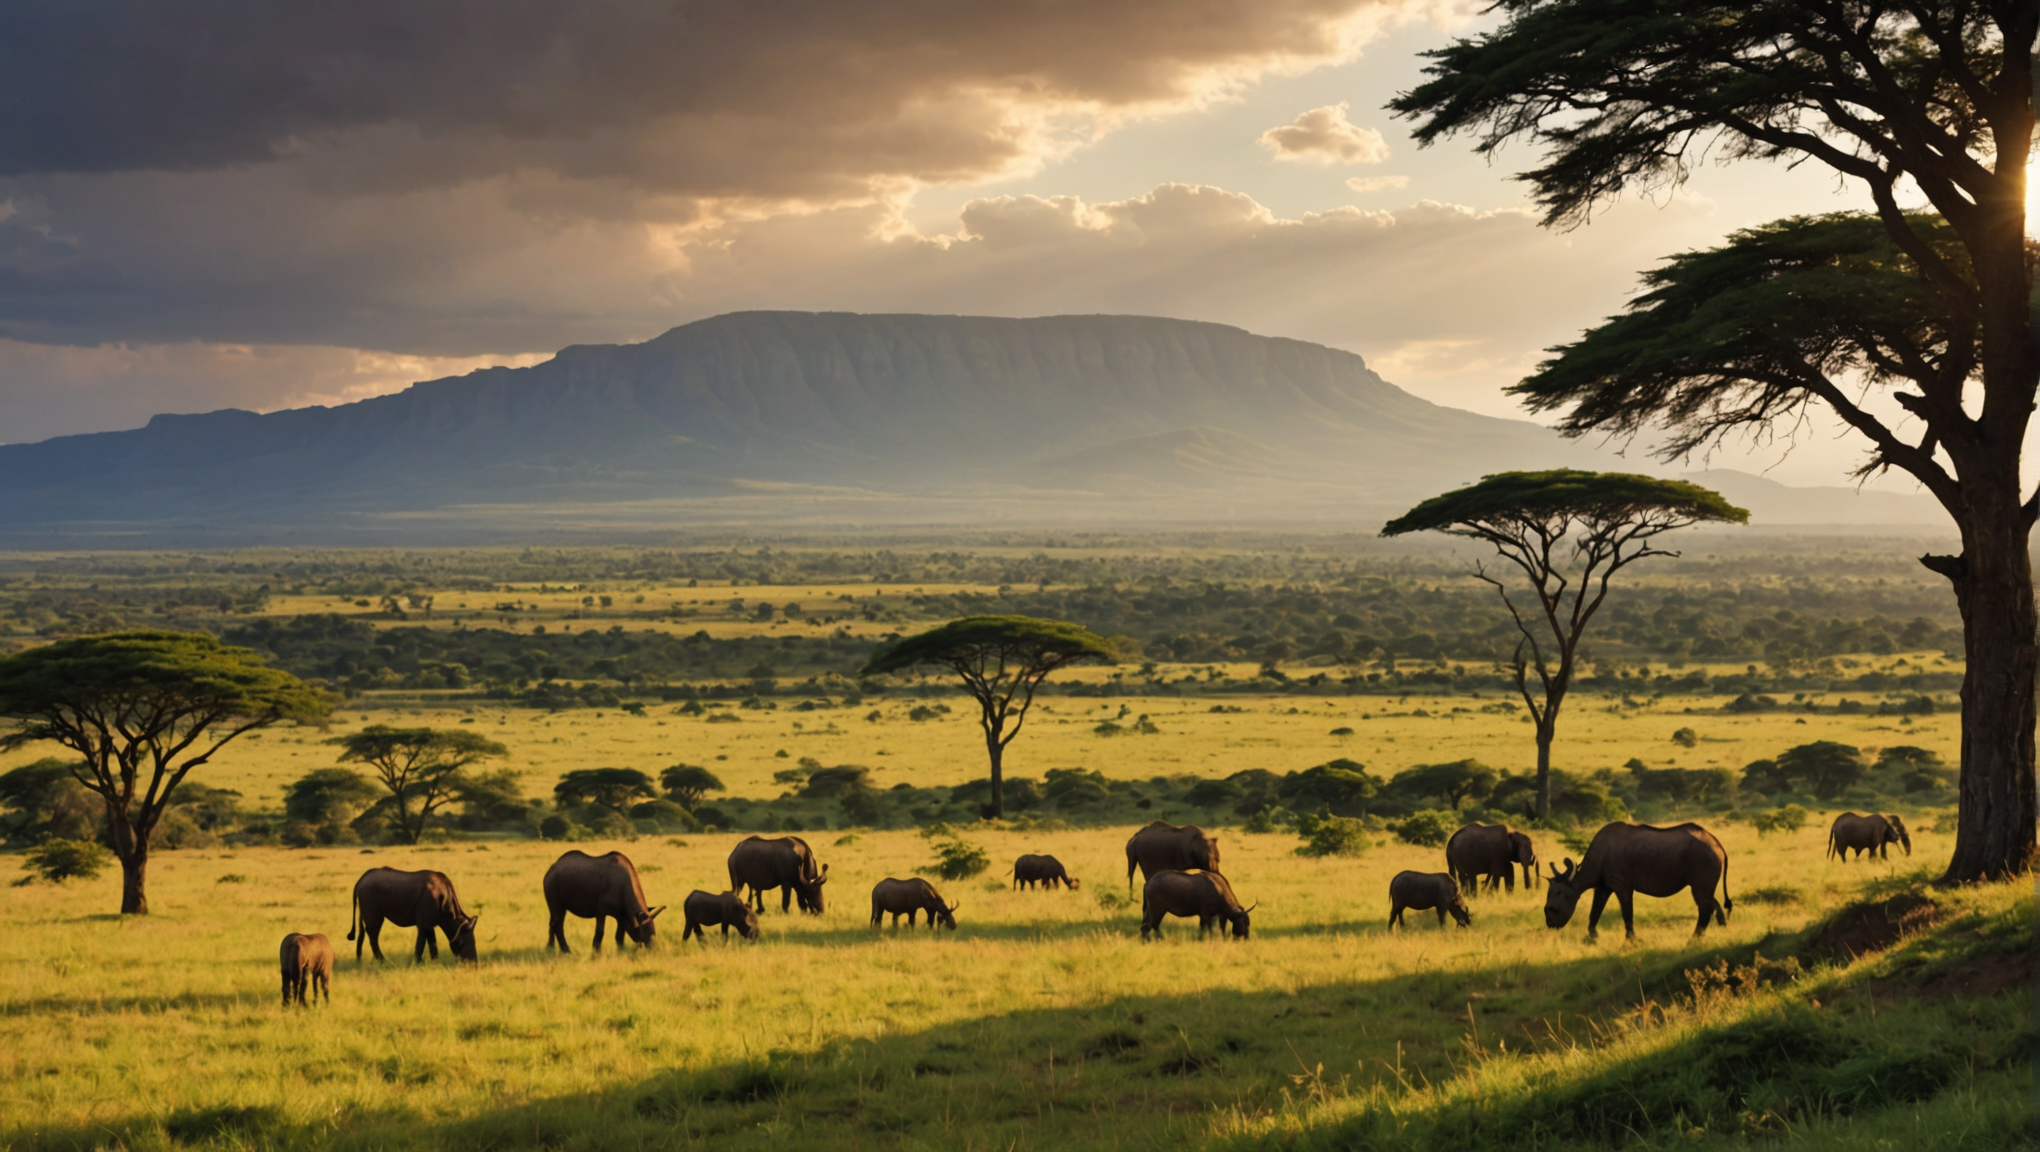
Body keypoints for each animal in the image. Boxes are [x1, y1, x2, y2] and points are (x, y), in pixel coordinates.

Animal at [1550, 815, 1729, 933]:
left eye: (1553, 909)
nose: (1550, 924)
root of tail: (1718, 845)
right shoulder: (1603, 885)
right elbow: (1595, 911)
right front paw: (1591, 939)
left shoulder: (1621, 884)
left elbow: (1627, 914)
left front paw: (1631, 943)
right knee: (1709, 899)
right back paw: (1720, 929)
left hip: (1703, 859)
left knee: (1703, 902)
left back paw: (1693, 941)